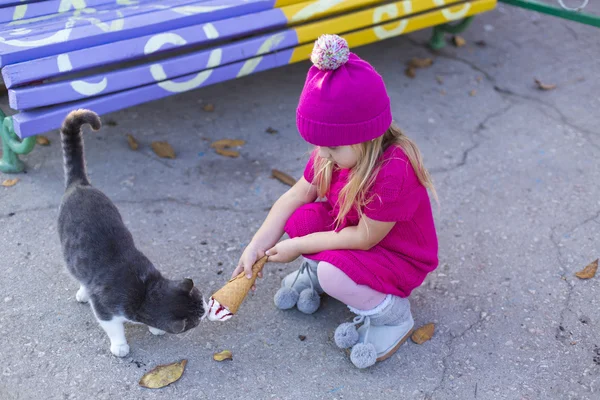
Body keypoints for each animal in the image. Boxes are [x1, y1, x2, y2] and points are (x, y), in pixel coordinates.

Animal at [58, 108, 206, 356]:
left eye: (201, 298)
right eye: (197, 318)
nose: (206, 308)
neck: (146, 291)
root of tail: (80, 185)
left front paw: (155, 329)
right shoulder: (105, 308)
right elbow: (113, 327)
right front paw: (120, 345)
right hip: (69, 252)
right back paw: (83, 292)